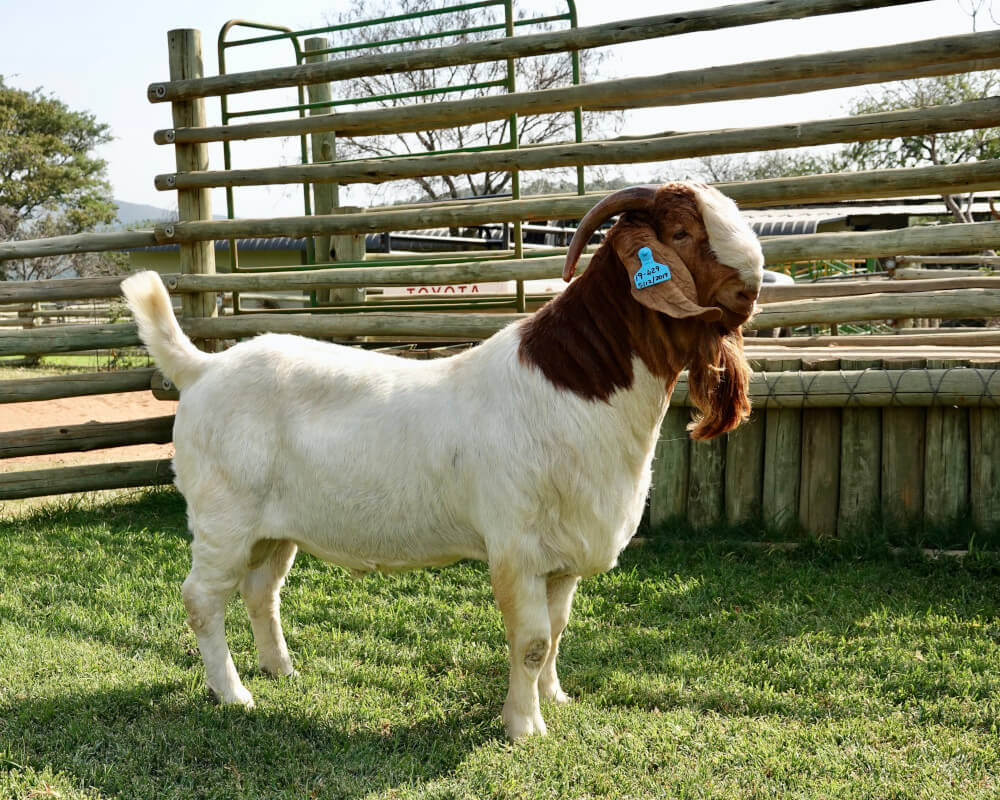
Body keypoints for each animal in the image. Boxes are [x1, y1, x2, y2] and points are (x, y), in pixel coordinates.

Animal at [121, 181, 763, 739]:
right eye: (681, 232)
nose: (752, 289)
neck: (574, 387)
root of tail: (202, 368)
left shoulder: (562, 557)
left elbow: (557, 632)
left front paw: (554, 698)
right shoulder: (517, 548)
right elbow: (532, 640)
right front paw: (524, 727)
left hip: (272, 530)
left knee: (261, 592)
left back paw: (280, 669)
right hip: (222, 518)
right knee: (203, 599)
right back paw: (233, 694)